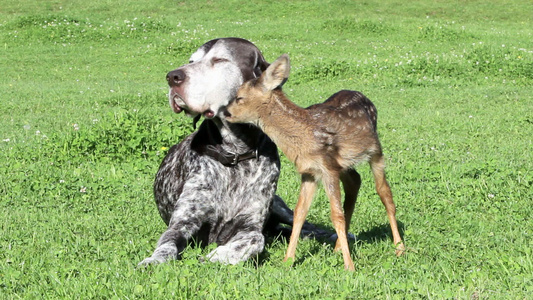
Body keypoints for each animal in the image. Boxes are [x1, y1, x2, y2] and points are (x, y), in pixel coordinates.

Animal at [137, 37, 332, 264]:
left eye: (220, 60)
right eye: (191, 60)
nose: (172, 77)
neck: (235, 156)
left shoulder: (250, 224)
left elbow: (256, 239)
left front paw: (220, 255)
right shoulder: (183, 221)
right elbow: (166, 244)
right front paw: (153, 260)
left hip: (279, 207)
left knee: (304, 226)